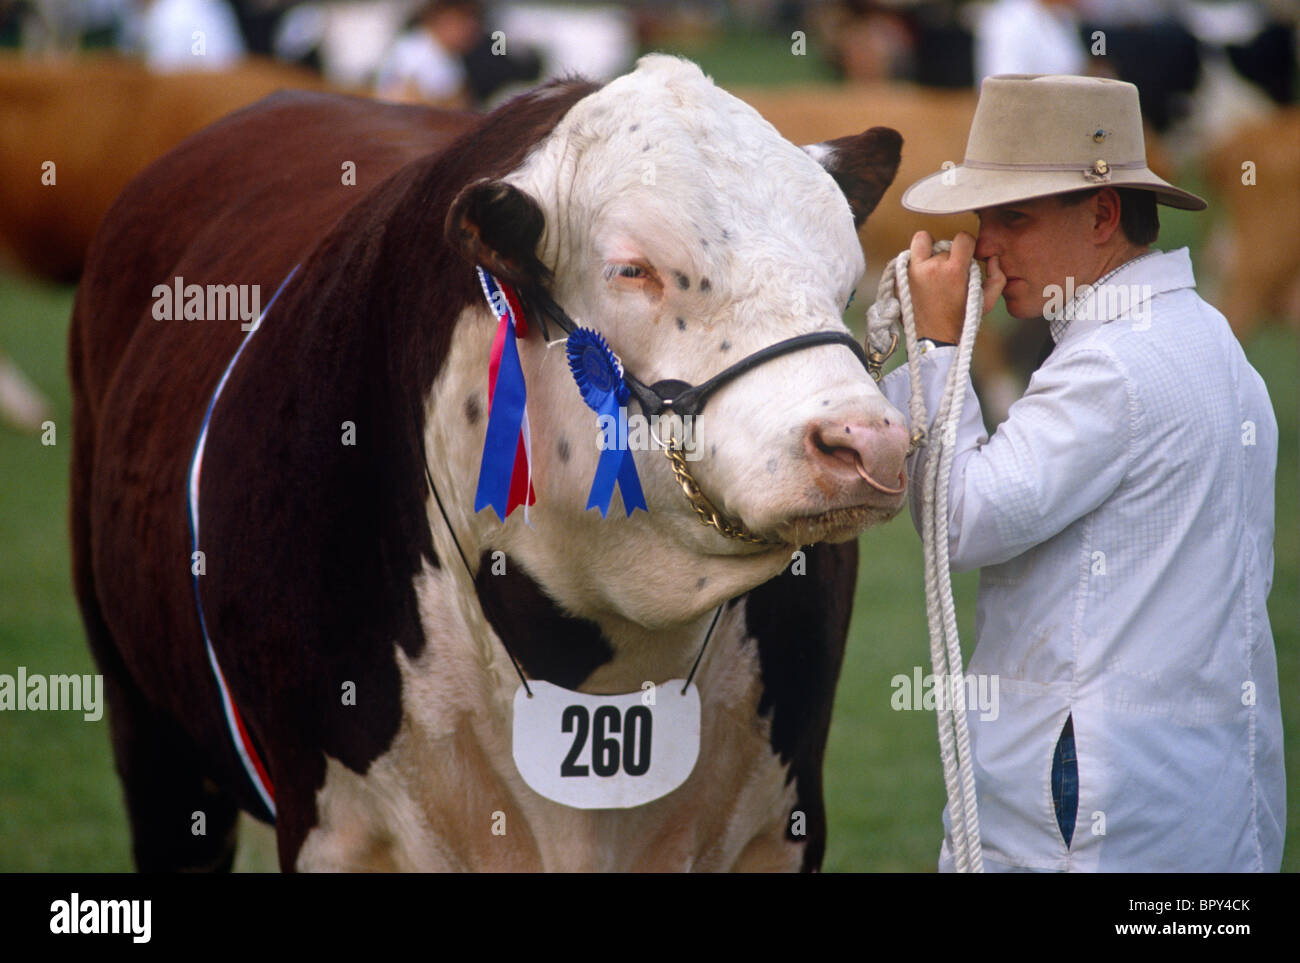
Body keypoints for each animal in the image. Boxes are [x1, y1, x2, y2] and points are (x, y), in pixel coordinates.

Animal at [69, 54, 908, 872]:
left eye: (845, 280)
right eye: (632, 269)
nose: (868, 440)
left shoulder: (783, 824)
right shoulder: (333, 828)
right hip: (150, 738)